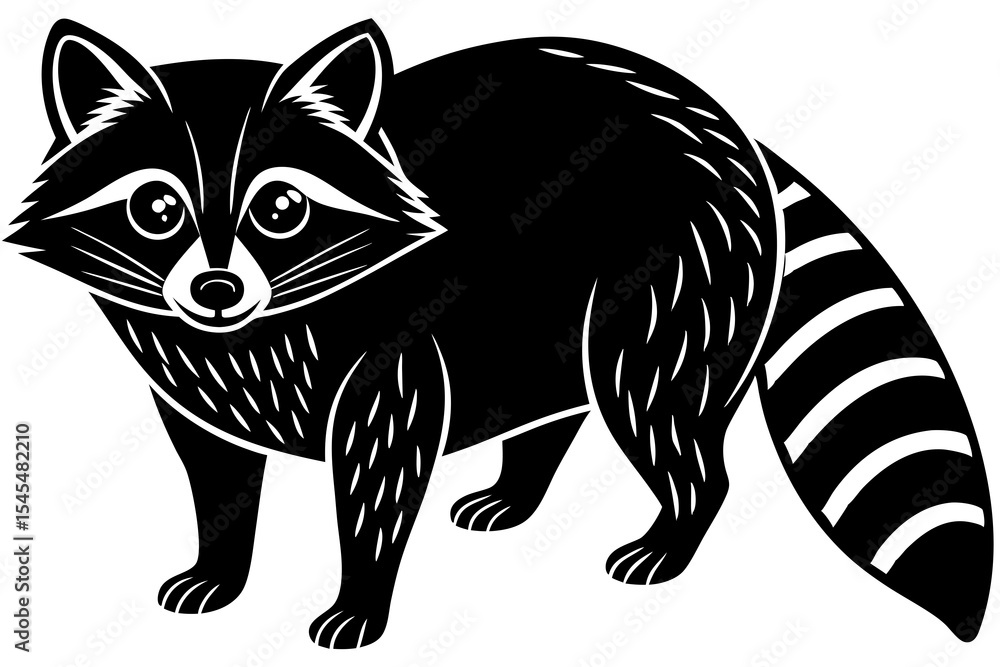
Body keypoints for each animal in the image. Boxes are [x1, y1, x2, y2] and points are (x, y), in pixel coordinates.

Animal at [8, 18, 993, 648]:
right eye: (156, 207)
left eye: (281, 208)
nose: (215, 289)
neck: (265, 319)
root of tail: (730, 125)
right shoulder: (190, 371)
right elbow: (215, 471)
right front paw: (220, 562)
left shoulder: (393, 344)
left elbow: (379, 466)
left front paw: (361, 593)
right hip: (540, 317)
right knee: (557, 394)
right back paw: (519, 484)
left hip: (671, 278)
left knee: (650, 399)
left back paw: (673, 528)